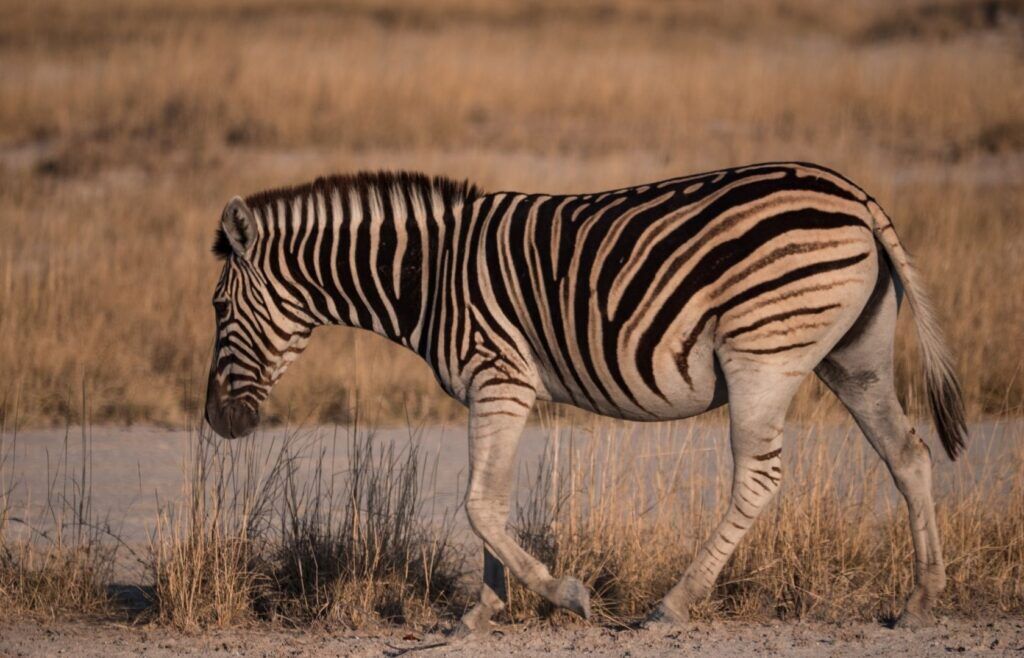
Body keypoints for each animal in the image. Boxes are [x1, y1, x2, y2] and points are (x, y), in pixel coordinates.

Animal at [205, 163, 966, 632]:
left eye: (216, 308)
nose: (217, 422)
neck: (429, 275)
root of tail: (855, 196)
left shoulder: (500, 377)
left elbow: (479, 505)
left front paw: (564, 595)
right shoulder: (495, 391)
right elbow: (490, 501)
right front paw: (482, 614)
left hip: (762, 354)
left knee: (760, 476)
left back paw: (673, 604)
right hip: (855, 355)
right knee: (908, 455)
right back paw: (921, 599)